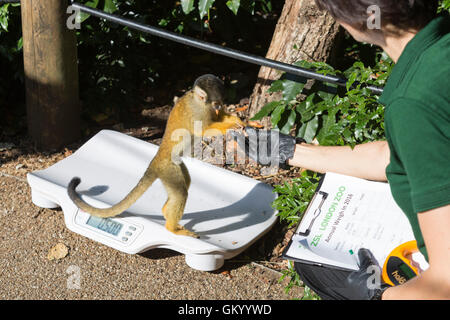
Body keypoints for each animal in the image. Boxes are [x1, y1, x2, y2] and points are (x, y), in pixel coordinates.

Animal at [67, 73, 243, 238]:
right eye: (216, 103)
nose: (220, 106)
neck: (197, 100)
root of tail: (156, 160)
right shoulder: (198, 111)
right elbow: (204, 130)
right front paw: (230, 125)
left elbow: (216, 119)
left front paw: (237, 120)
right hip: (168, 170)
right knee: (181, 192)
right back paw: (172, 228)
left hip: (174, 166)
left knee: (185, 182)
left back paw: (166, 212)